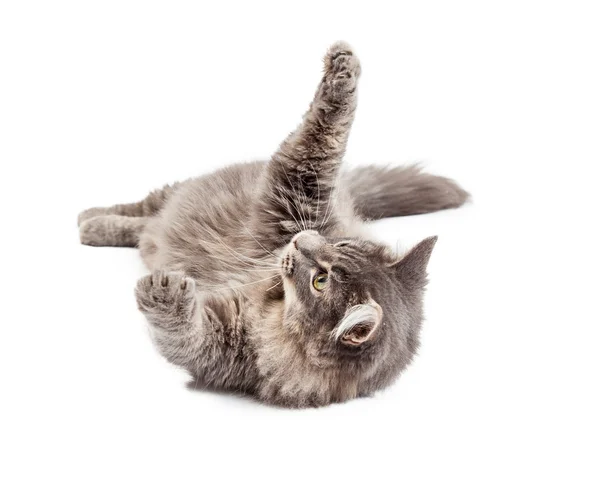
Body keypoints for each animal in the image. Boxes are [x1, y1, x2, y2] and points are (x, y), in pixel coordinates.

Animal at [78, 42, 468, 408]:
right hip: (177, 192)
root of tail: (350, 189)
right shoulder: (299, 191)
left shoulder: (227, 344)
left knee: (144, 227)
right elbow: (325, 132)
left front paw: (165, 293)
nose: (299, 241)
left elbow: (185, 336)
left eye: (320, 281)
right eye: (340, 244)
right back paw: (89, 219)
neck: (273, 303)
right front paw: (344, 66)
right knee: (139, 212)